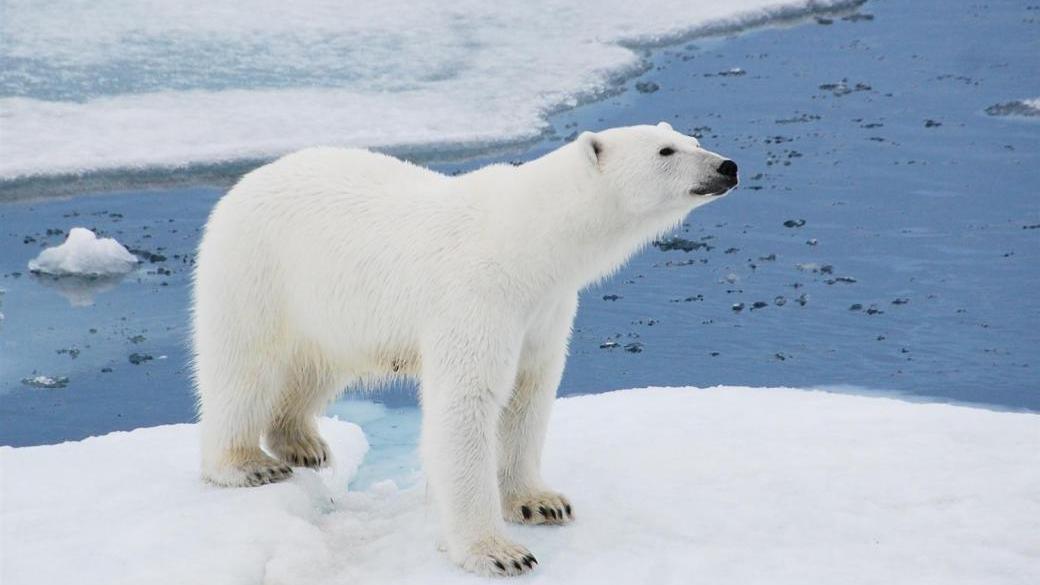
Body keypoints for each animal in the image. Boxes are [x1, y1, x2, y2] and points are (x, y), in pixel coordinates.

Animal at [191, 122, 736, 574]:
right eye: (666, 150)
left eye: (692, 138)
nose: (727, 166)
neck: (528, 244)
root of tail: (243, 185)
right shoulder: (477, 296)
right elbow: (467, 403)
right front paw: (498, 552)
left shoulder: (543, 309)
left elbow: (529, 392)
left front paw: (540, 502)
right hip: (259, 272)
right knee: (244, 367)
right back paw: (247, 463)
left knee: (314, 367)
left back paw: (303, 442)